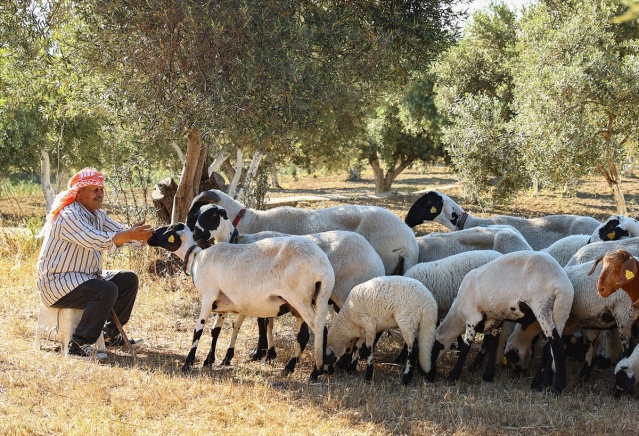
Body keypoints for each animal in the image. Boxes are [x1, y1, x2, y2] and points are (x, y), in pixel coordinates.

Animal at [145, 223, 336, 380]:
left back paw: (315, 372)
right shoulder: (221, 303)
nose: (149, 236)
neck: (197, 258)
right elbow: (215, 331)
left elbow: (198, 330)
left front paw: (187, 363)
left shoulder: (208, 296)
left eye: (167, 229)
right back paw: (291, 368)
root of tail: (324, 268)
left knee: (320, 329)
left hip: (300, 299)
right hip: (305, 302)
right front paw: (209, 361)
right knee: (304, 335)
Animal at [430, 250, 576, 394]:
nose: (429, 375)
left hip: (542, 306)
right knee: (549, 347)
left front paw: (453, 377)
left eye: (432, 350)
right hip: (560, 313)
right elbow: (492, 344)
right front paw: (488, 375)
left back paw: (555, 386)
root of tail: (561, 284)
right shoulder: (496, 320)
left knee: (556, 343)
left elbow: (466, 347)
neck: (458, 313)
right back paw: (542, 383)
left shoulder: (472, 319)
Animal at [504, 258, 636, 384]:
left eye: (513, 357)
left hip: (624, 315)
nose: (518, 374)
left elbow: (548, 352)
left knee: (628, 352)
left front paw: (541, 382)